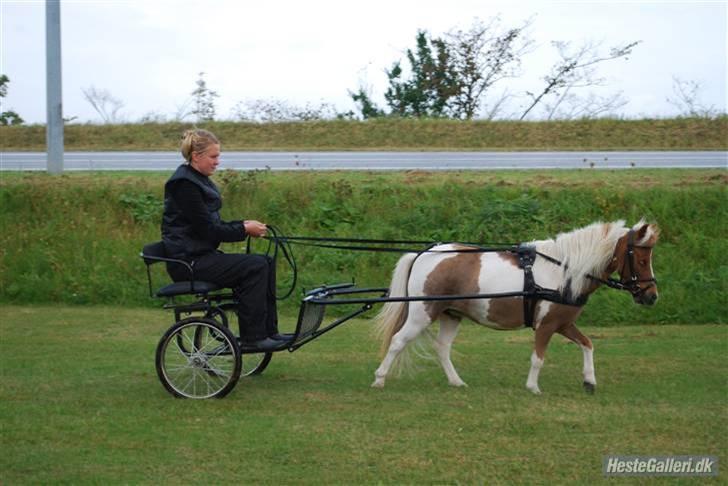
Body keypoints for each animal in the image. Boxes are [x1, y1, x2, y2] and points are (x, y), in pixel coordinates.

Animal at [376, 220, 660, 394]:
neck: (563, 270)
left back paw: (456, 381)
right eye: (641, 259)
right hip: (422, 313)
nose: (651, 296)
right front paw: (533, 387)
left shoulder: (563, 323)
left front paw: (589, 380)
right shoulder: (546, 325)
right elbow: (538, 357)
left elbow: (588, 344)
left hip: (450, 315)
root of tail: (425, 253)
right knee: (398, 341)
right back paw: (379, 378)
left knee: (442, 347)